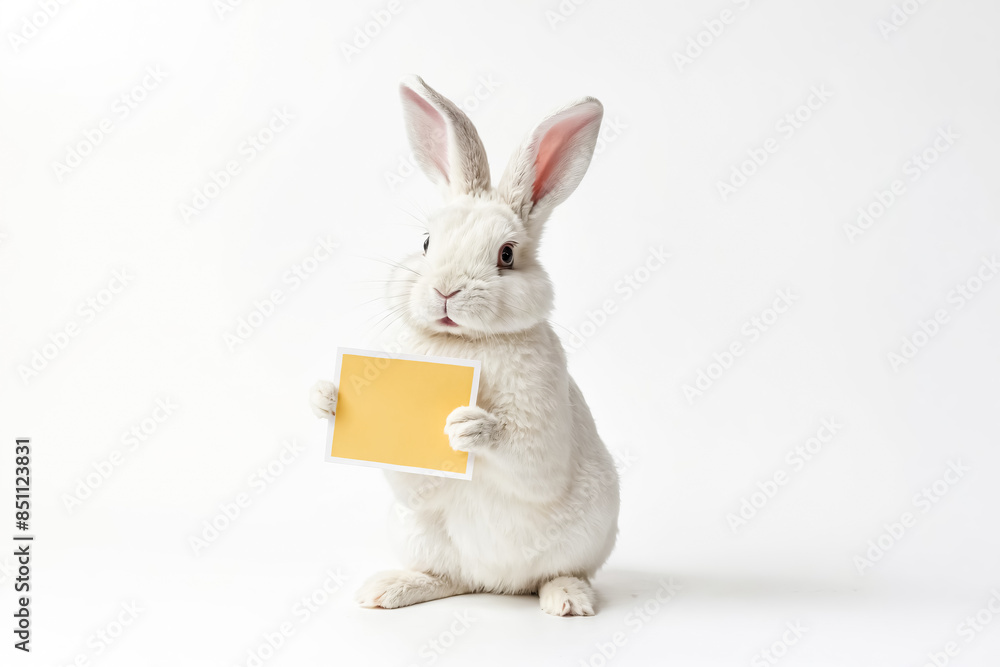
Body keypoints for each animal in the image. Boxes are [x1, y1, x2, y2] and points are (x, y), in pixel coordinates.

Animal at [309, 75, 620, 616]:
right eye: (426, 242)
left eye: (507, 254)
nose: (446, 291)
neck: (465, 343)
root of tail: (499, 585)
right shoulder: (412, 489)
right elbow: (412, 482)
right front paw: (327, 398)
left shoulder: (545, 424)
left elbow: (532, 459)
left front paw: (467, 425)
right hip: (419, 534)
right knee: (449, 578)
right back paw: (389, 589)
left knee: (562, 572)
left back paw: (567, 600)